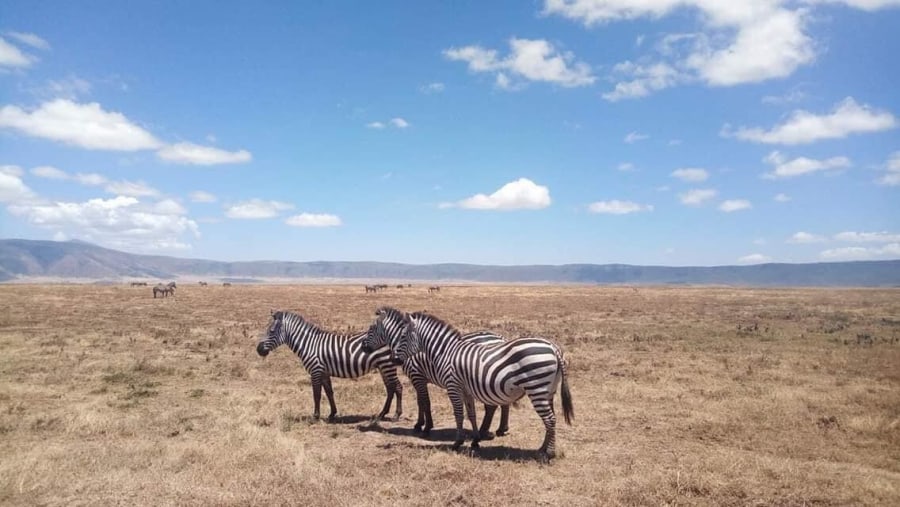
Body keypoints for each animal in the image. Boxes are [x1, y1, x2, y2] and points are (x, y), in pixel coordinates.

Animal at [256, 312, 404, 422]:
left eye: (271, 331)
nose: (258, 350)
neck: (309, 344)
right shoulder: (324, 372)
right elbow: (329, 392)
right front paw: (332, 414)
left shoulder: (315, 370)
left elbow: (316, 394)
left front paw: (315, 417)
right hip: (382, 366)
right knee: (390, 388)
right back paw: (382, 414)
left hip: (387, 365)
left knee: (397, 387)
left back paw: (396, 415)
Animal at [362, 324, 510, 438]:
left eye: (371, 330)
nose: (363, 347)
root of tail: (500, 338)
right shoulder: (419, 378)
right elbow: (420, 401)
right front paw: (419, 424)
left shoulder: (417, 376)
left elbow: (424, 402)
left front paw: (425, 427)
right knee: (503, 402)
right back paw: (501, 429)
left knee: (491, 406)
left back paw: (484, 431)